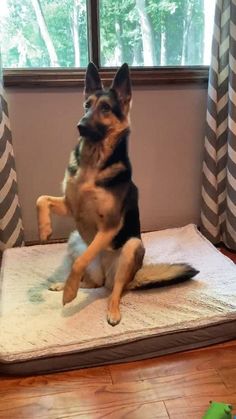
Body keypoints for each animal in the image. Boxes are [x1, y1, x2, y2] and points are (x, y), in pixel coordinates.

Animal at [37, 62, 198, 326]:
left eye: (105, 108)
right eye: (87, 105)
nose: (80, 126)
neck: (93, 162)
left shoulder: (109, 225)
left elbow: (80, 261)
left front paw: (69, 293)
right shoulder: (71, 205)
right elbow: (41, 199)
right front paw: (44, 230)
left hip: (132, 247)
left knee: (115, 289)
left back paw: (110, 309)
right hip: (75, 239)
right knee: (92, 283)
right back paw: (64, 284)